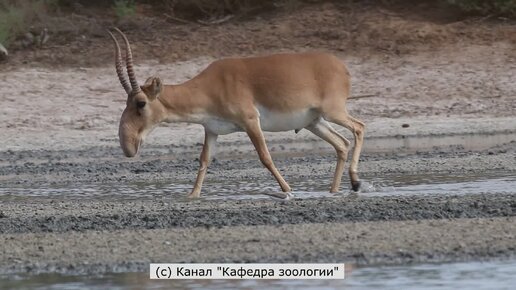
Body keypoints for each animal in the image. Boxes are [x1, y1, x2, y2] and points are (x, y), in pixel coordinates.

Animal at [108, 28, 364, 198]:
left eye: (141, 103)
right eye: (127, 101)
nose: (128, 146)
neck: (210, 85)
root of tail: (343, 68)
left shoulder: (251, 121)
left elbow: (265, 156)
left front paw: (288, 190)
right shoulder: (211, 130)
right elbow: (204, 160)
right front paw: (192, 195)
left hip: (333, 112)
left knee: (359, 128)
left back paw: (356, 182)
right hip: (315, 122)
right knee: (342, 143)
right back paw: (335, 190)